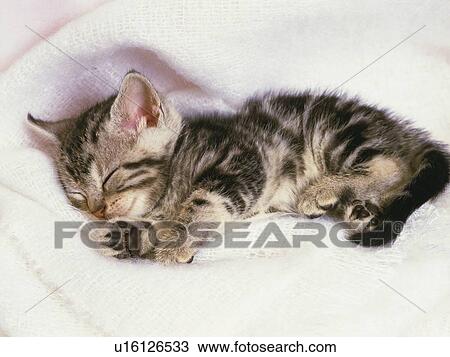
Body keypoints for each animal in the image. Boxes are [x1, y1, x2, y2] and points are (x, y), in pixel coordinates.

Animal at [28, 71, 450, 262]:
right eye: (78, 196)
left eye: (110, 177)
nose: (98, 210)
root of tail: (399, 130)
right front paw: (127, 236)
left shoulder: (243, 157)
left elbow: (203, 201)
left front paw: (175, 241)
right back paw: (358, 208)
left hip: (334, 132)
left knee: (390, 165)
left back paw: (324, 190)